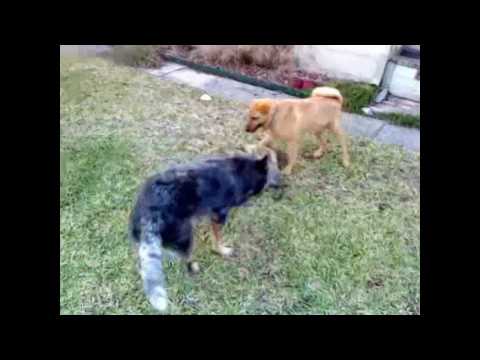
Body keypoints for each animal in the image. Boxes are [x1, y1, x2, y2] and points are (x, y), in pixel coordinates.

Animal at [128, 153, 282, 310]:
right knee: (185, 258)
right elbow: (218, 239)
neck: (242, 170)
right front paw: (222, 250)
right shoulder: (219, 214)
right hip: (186, 235)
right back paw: (193, 267)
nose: (281, 183)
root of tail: (149, 215)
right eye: (272, 173)